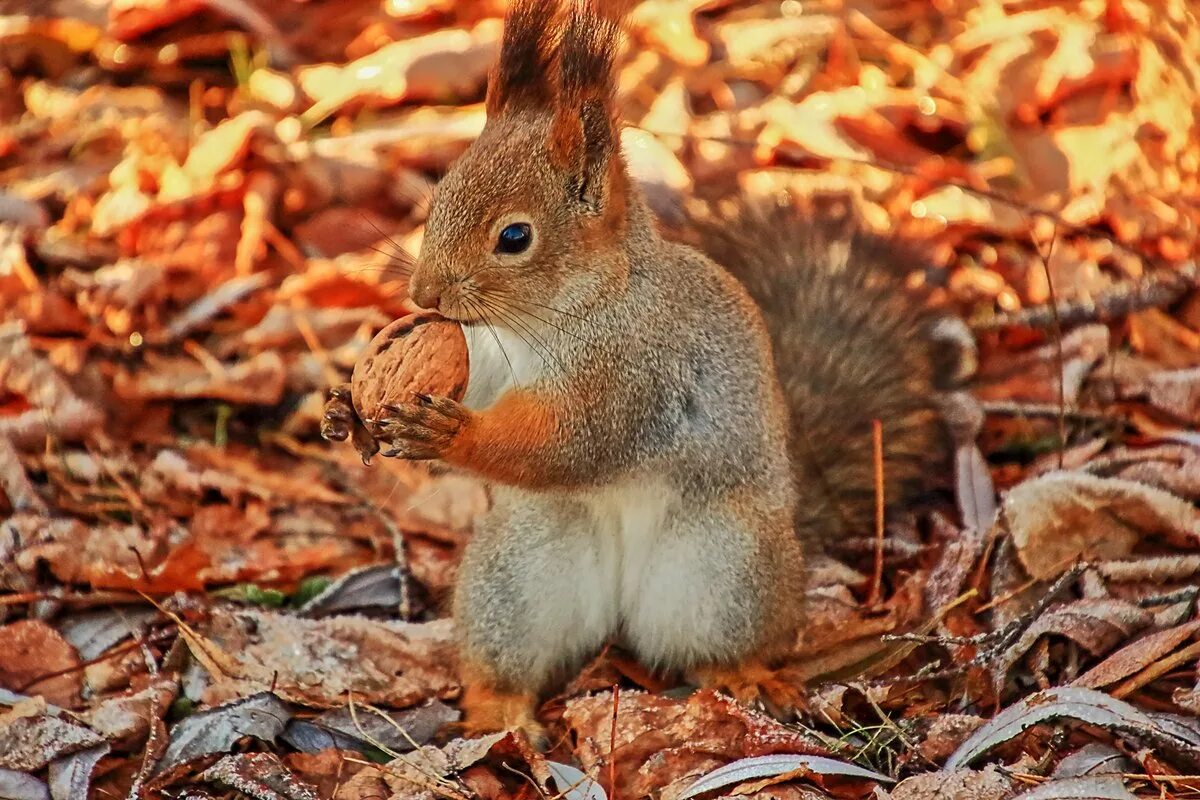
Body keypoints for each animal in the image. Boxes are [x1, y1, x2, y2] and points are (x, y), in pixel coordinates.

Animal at [324, 0, 969, 743]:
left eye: (515, 237)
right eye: (437, 201)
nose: (424, 295)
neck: (564, 313)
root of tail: (620, 613)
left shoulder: (638, 371)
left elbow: (570, 444)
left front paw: (453, 435)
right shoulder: (484, 359)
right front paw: (344, 408)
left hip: (724, 570)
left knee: (714, 646)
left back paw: (745, 678)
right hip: (518, 577)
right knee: (513, 656)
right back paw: (498, 713)